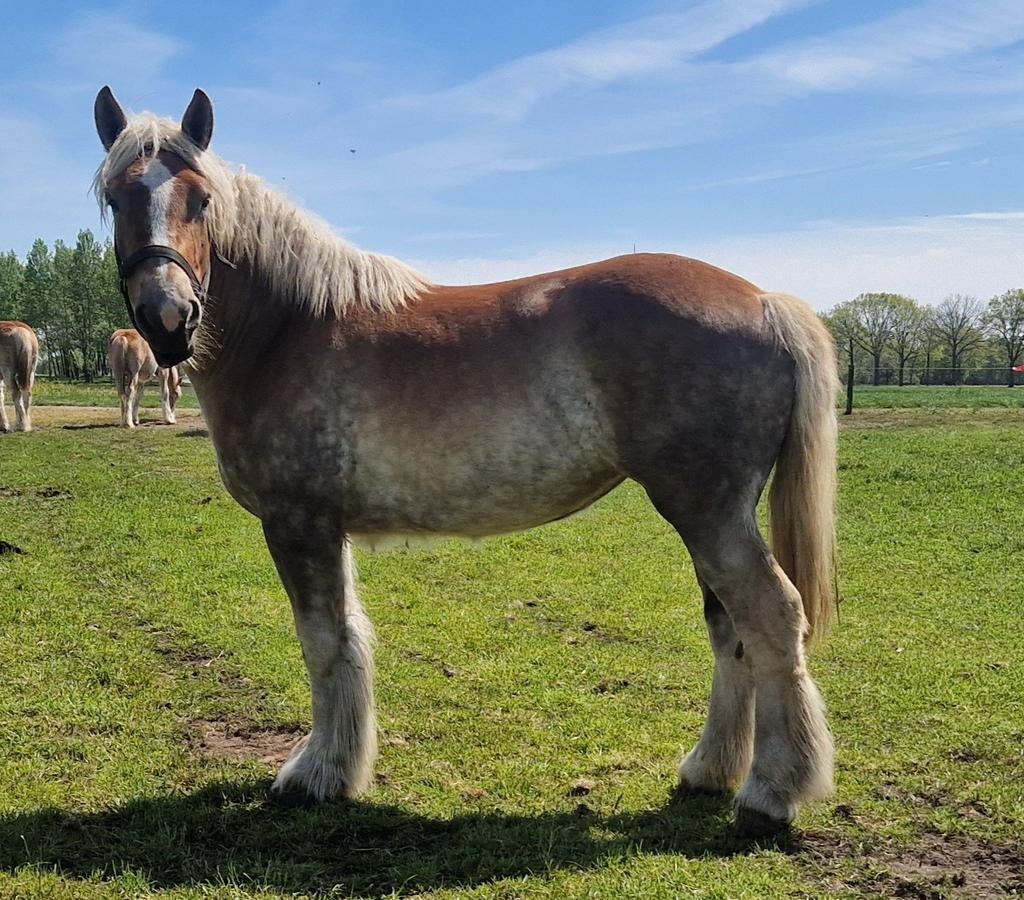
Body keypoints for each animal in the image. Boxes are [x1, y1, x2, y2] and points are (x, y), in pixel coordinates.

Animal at [93, 86, 839, 836]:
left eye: (201, 200)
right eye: (114, 197)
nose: (167, 319)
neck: (288, 328)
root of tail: (766, 302)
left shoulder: (297, 522)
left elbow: (324, 641)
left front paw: (316, 774)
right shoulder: (328, 528)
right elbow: (350, 635)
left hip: (707, 511)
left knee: (772, 617)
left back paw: (770, 793)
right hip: (710, 515)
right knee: (731, 630)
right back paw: (708, 771)